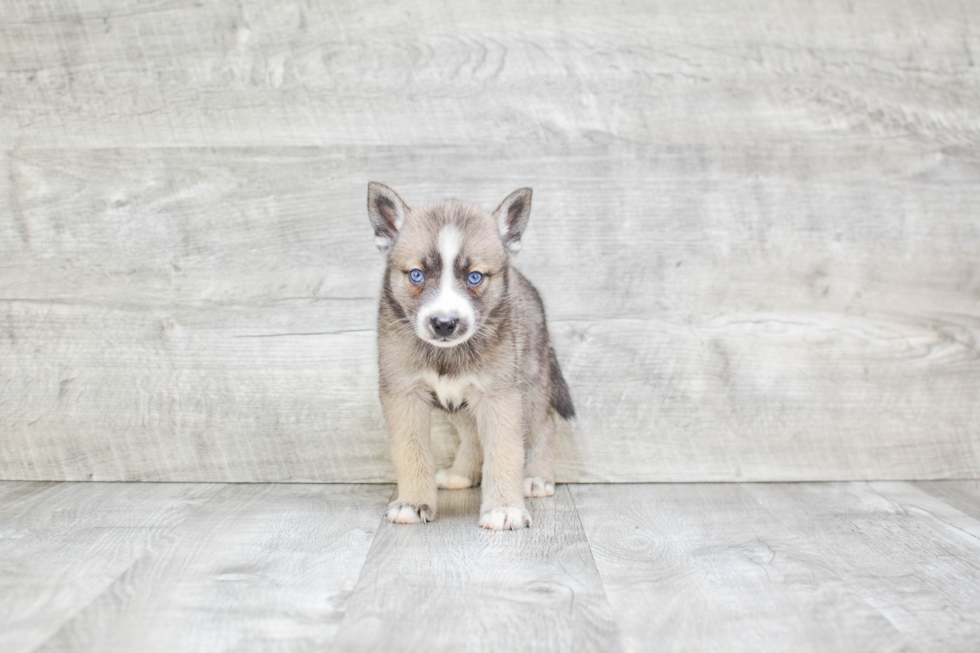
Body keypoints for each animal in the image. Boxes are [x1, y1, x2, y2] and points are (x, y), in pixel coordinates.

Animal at [366, 183, 576, 528]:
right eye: (416, 275)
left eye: (474, 277)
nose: (444, 324)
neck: (446, 353)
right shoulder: (404, 393)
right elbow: (411, 451)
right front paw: (413, 502)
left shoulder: (499, 395)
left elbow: (504, 451)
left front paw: (504, 507)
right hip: (460, 401)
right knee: (472, 433)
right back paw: (461, 474)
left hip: (531, 380)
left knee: (543, 424)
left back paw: (536, 477)